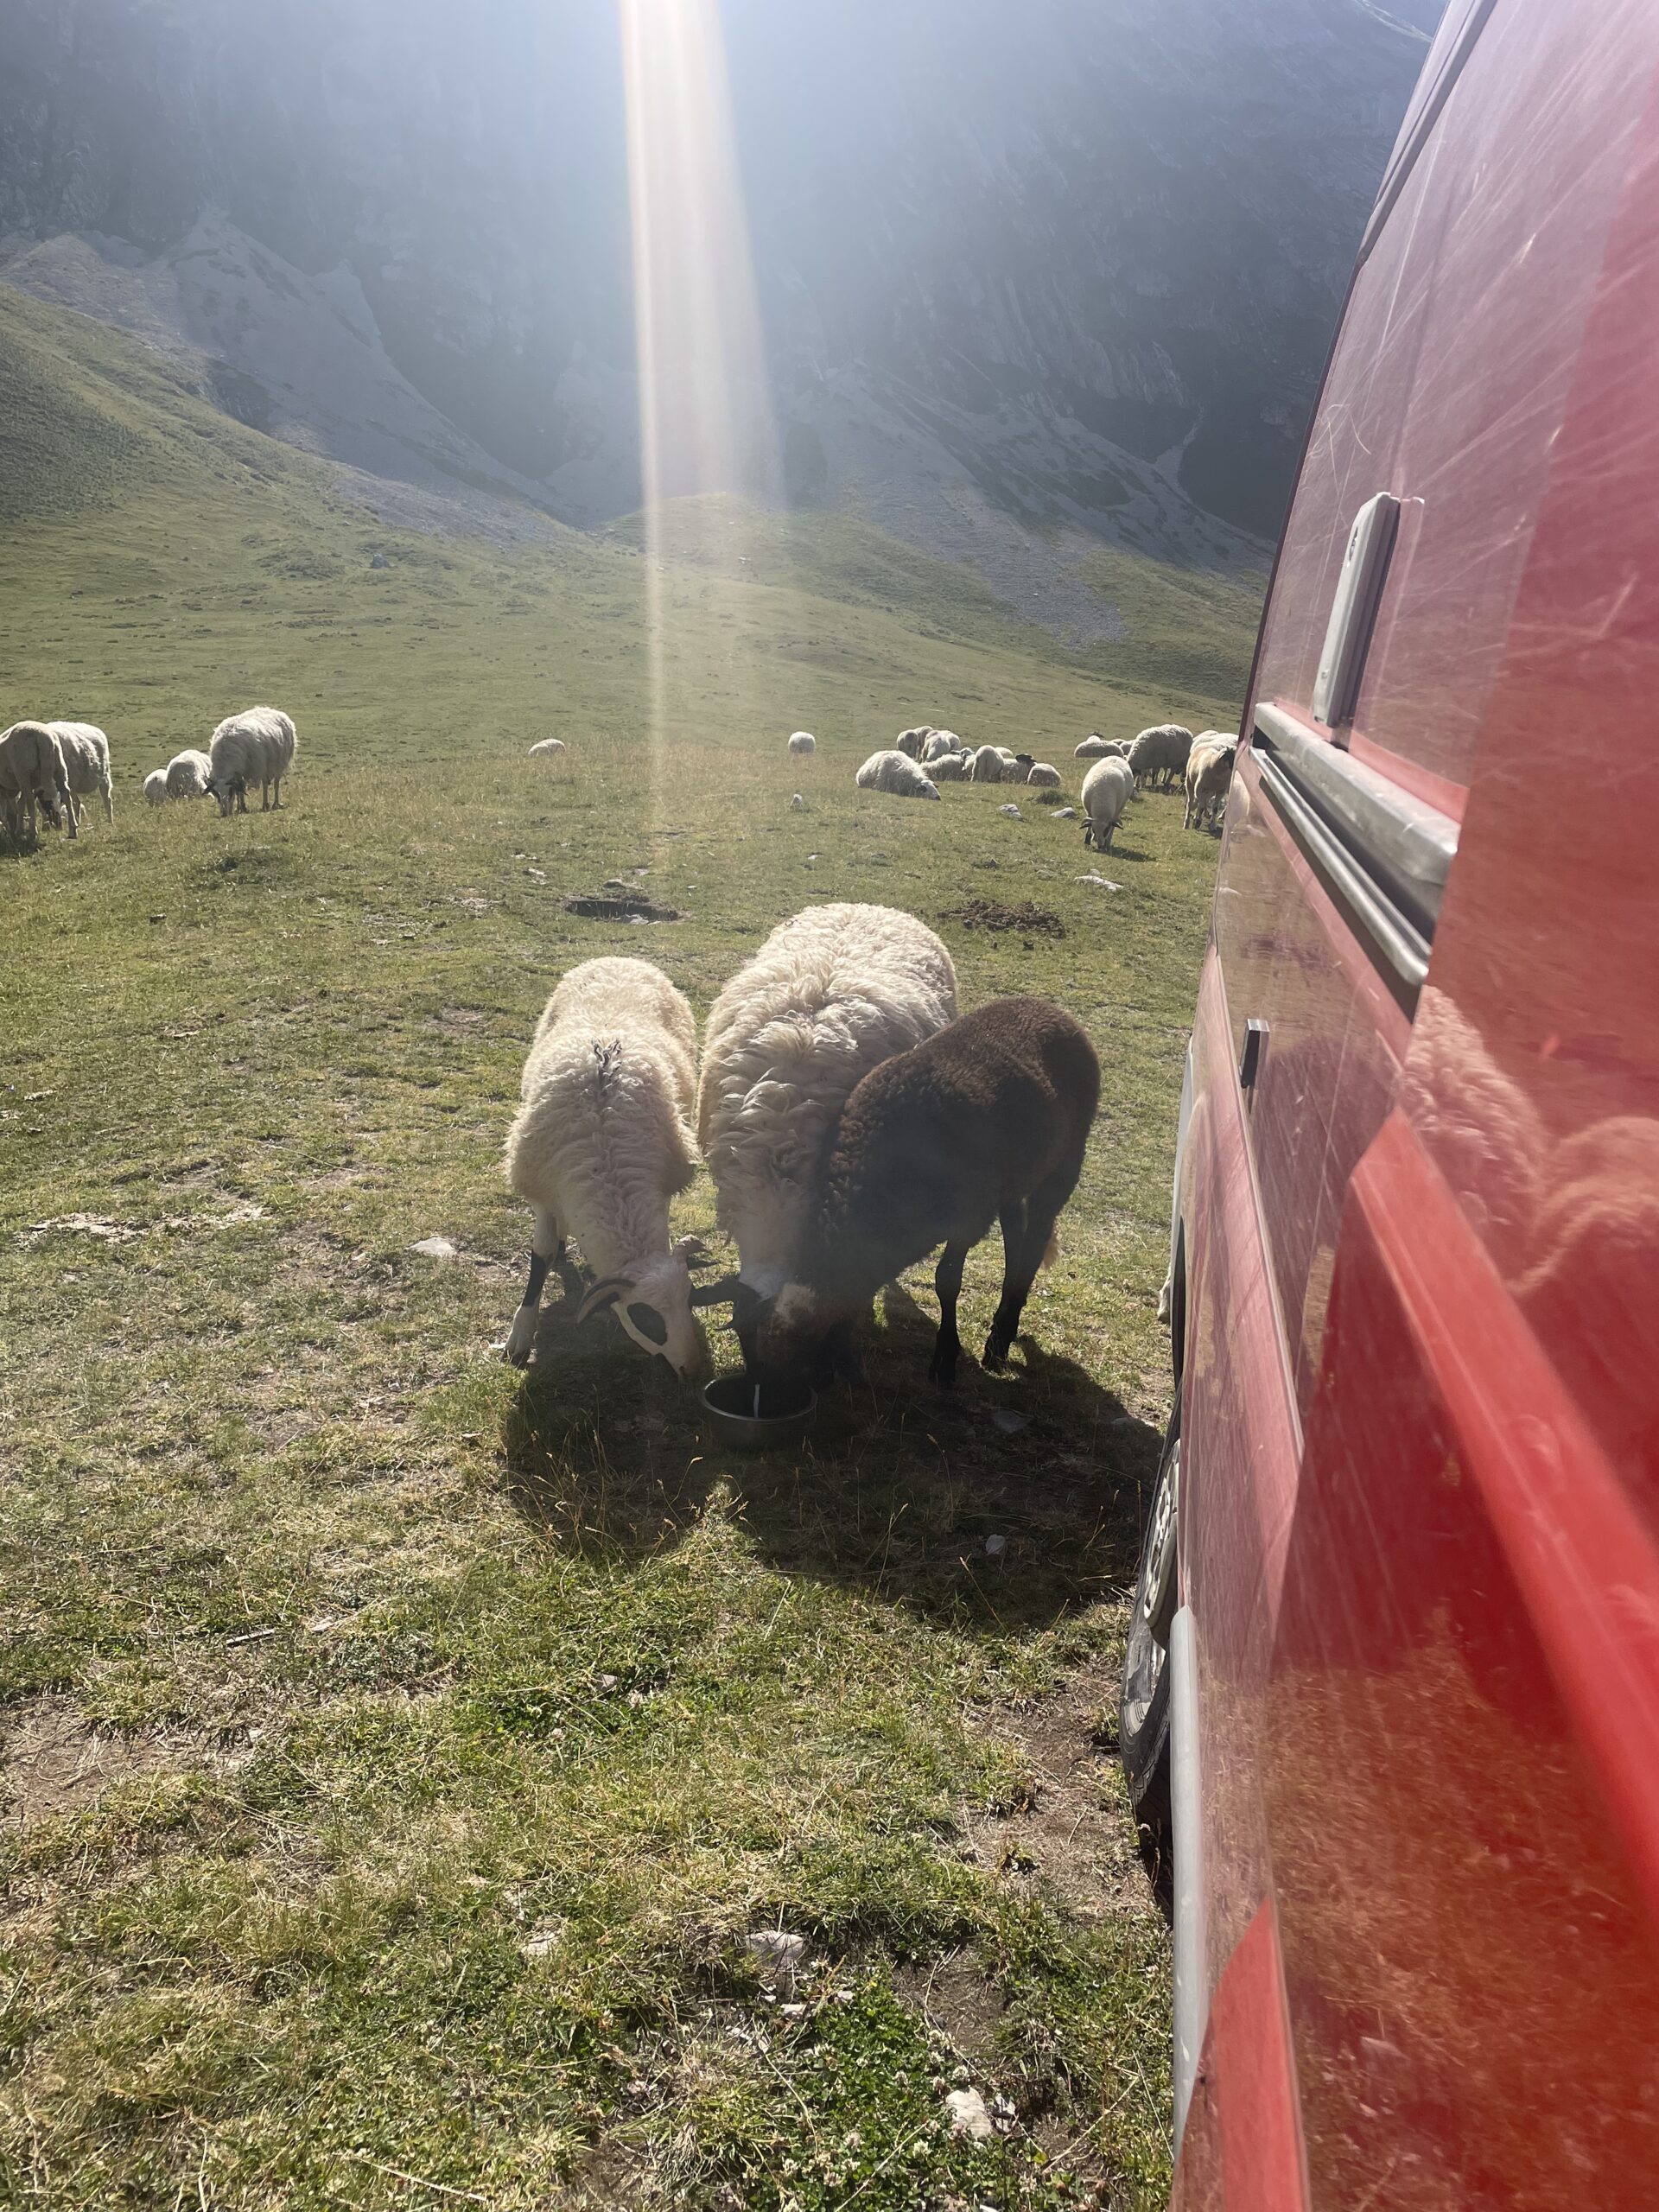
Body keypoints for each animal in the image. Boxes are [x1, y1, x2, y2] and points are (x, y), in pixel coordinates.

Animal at [0, 721, 74, 844]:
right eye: (47, 803)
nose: (59, 825)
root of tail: (42, 737)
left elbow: (9, 810)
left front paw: (11, 831)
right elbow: (18, 805)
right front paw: (17, 830)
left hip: (23, 772)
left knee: (30, 801)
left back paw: (33, 833)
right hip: (59, 765)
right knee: (66, 793)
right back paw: (73, 831)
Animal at [503, 956, 712, 1378]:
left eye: (691, 1300)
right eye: (646, 1317)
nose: (693, 1370)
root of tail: (621, 958)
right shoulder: (541, 1187)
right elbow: (541, 1255)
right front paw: (521, 1333)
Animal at [751, 997, 1099, 1388]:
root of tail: (1049, 1008)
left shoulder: (969, 1217)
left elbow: (946, 1281)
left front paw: (945, 1359)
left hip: (1066, 1161)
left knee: (1035, 1239)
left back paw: (1001, 1340)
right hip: (1015, 1176)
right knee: (1016, 1233)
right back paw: (1000, 1329)